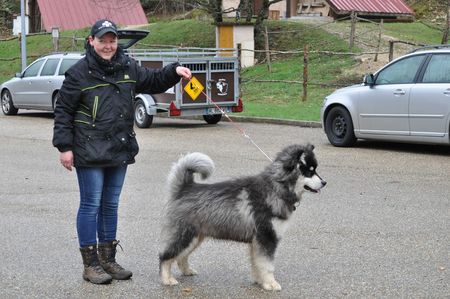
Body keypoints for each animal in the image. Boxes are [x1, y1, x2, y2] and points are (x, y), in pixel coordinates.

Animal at [160, 144, 326, 292]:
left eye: (315, 169)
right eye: (309, 171)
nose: (324, 182)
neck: (276, 188)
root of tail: (185, 188)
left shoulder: (257, 241)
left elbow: (257, 263)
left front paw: (260, 281)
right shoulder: (267, 237)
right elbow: (267, 265)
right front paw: (270, 283)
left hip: (195, 237)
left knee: (181, 256)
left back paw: (187, 271)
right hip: (185, 235)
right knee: (165, 256)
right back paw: (167, 279)